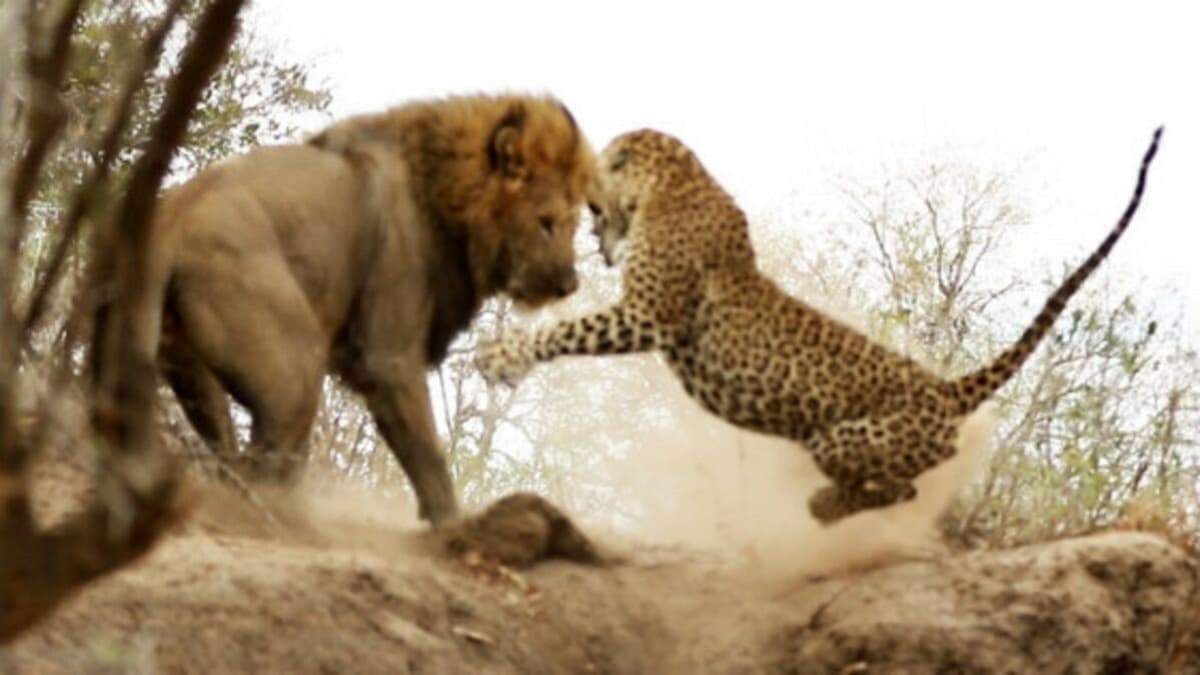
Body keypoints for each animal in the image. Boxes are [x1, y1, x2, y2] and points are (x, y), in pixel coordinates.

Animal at [121, 93, 594, 525]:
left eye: (574, 223)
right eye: (547, 222)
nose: (569, 284)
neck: (446, 195)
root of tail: (170, 221)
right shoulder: (388, 354)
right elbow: (428, 455)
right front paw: (453, 527)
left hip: (187, 365)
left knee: (229, 454)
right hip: (291, 366)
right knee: (270, 462)